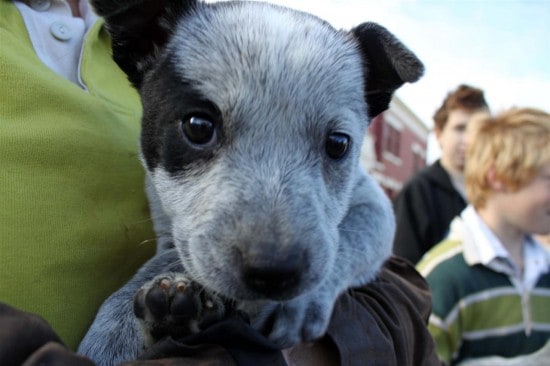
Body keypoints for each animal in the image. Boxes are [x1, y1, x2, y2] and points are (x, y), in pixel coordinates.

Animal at [77, 0, 424, 364]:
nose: (275, 272)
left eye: (339, 143)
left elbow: (343, 242)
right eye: (198, 126)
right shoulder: (172, 232)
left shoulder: (375, 207)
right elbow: (162, 260)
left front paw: (302, 303)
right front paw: (115, 328)